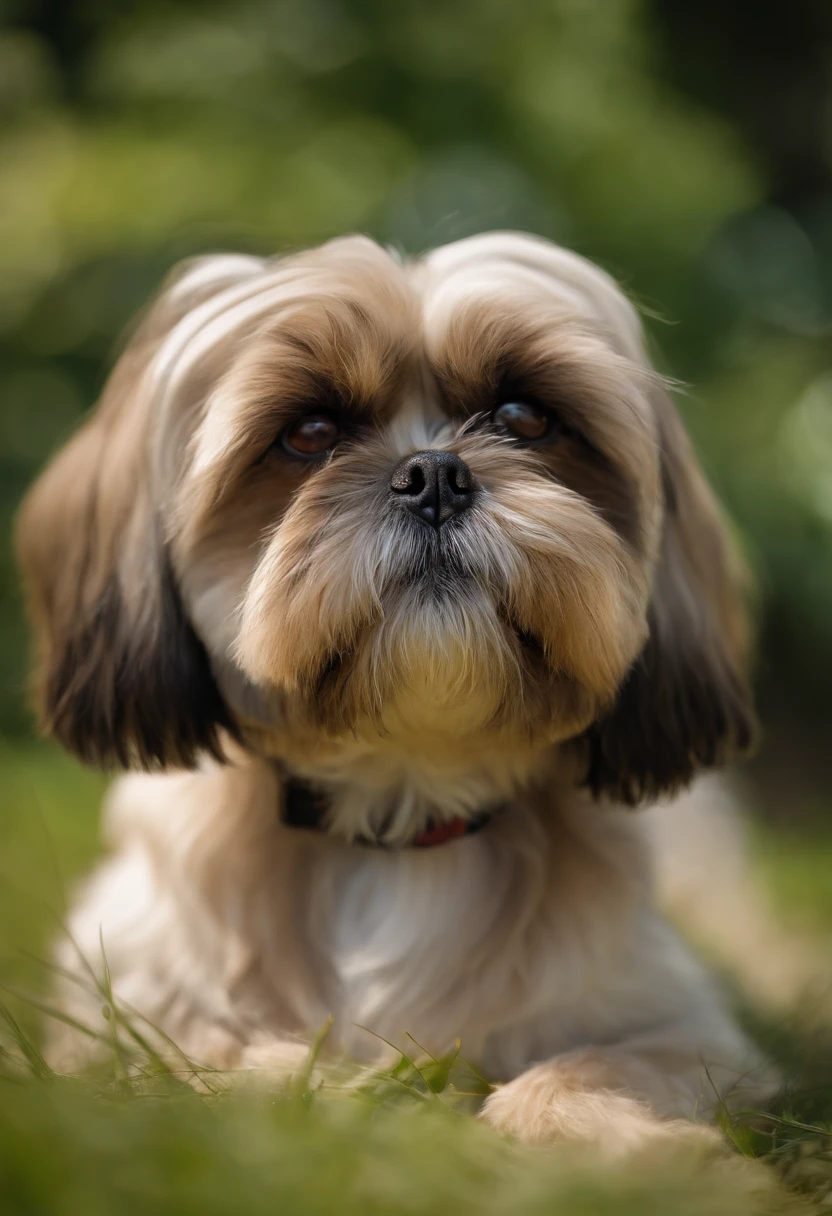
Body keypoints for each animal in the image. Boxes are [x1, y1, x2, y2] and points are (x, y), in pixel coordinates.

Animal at [16, 232, 773, 1152]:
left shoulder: (685, 1030)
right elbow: (228, 1064)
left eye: (524, 418)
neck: (401, 807)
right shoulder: (121, 1018)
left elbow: (587, 1068)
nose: (434, 473)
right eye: (308, 432)